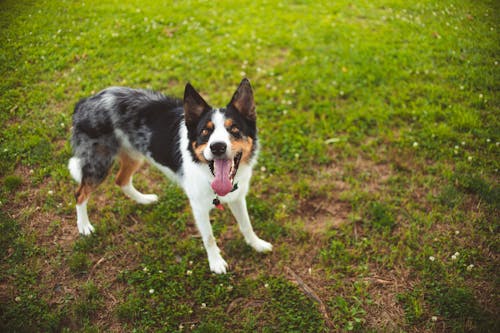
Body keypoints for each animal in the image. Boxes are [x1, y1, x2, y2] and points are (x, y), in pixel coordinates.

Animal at [68, 78, 272, 272]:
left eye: (235, 129)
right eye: (205, 131)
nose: (217, 147)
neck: (208, 173)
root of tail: (85, 102)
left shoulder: (237, 197)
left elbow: (246, 224)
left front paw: (257, 244)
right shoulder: (198, 207)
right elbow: (209, 237)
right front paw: (216, 263)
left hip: (134, 155)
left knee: (121, 180)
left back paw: (144, 199)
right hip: (99, 164)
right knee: (80, 194)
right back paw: (84, 226)